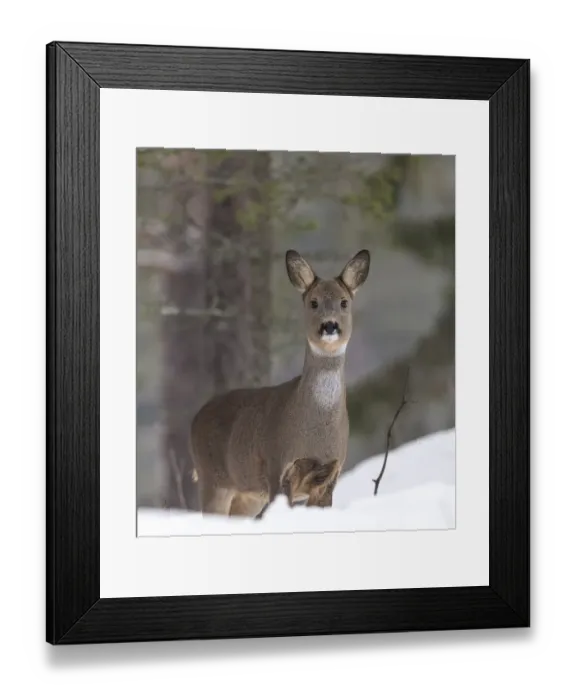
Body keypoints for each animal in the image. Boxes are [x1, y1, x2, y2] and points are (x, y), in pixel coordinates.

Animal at [189, 249, 371, 518]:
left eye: (344, 302)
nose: (329, 325)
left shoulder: (331, 474)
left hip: (248, 494)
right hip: (213, 479)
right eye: (313, 302)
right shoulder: (278, 466)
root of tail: (195, 418)